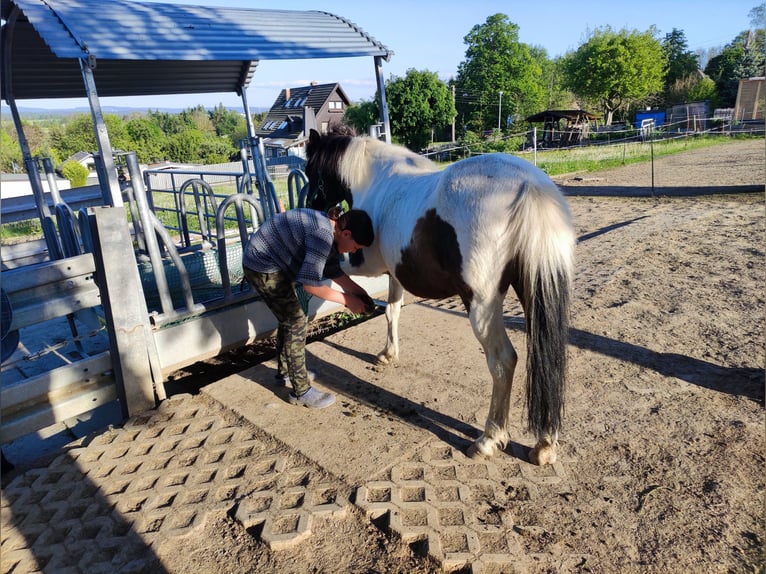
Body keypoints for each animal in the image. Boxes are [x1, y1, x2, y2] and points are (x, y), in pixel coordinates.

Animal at [306, 130, 576, 468]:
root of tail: (528, 185)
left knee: (503, 361)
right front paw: (388, 354)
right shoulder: (395, 272)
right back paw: (544, 445)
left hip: (481, 304)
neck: (376, 181)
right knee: (548, 357)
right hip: (534, 293)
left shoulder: (365, 264)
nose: (312, 207)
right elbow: (392, 311)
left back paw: (488, 440)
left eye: (310, 170)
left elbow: (339, 272)